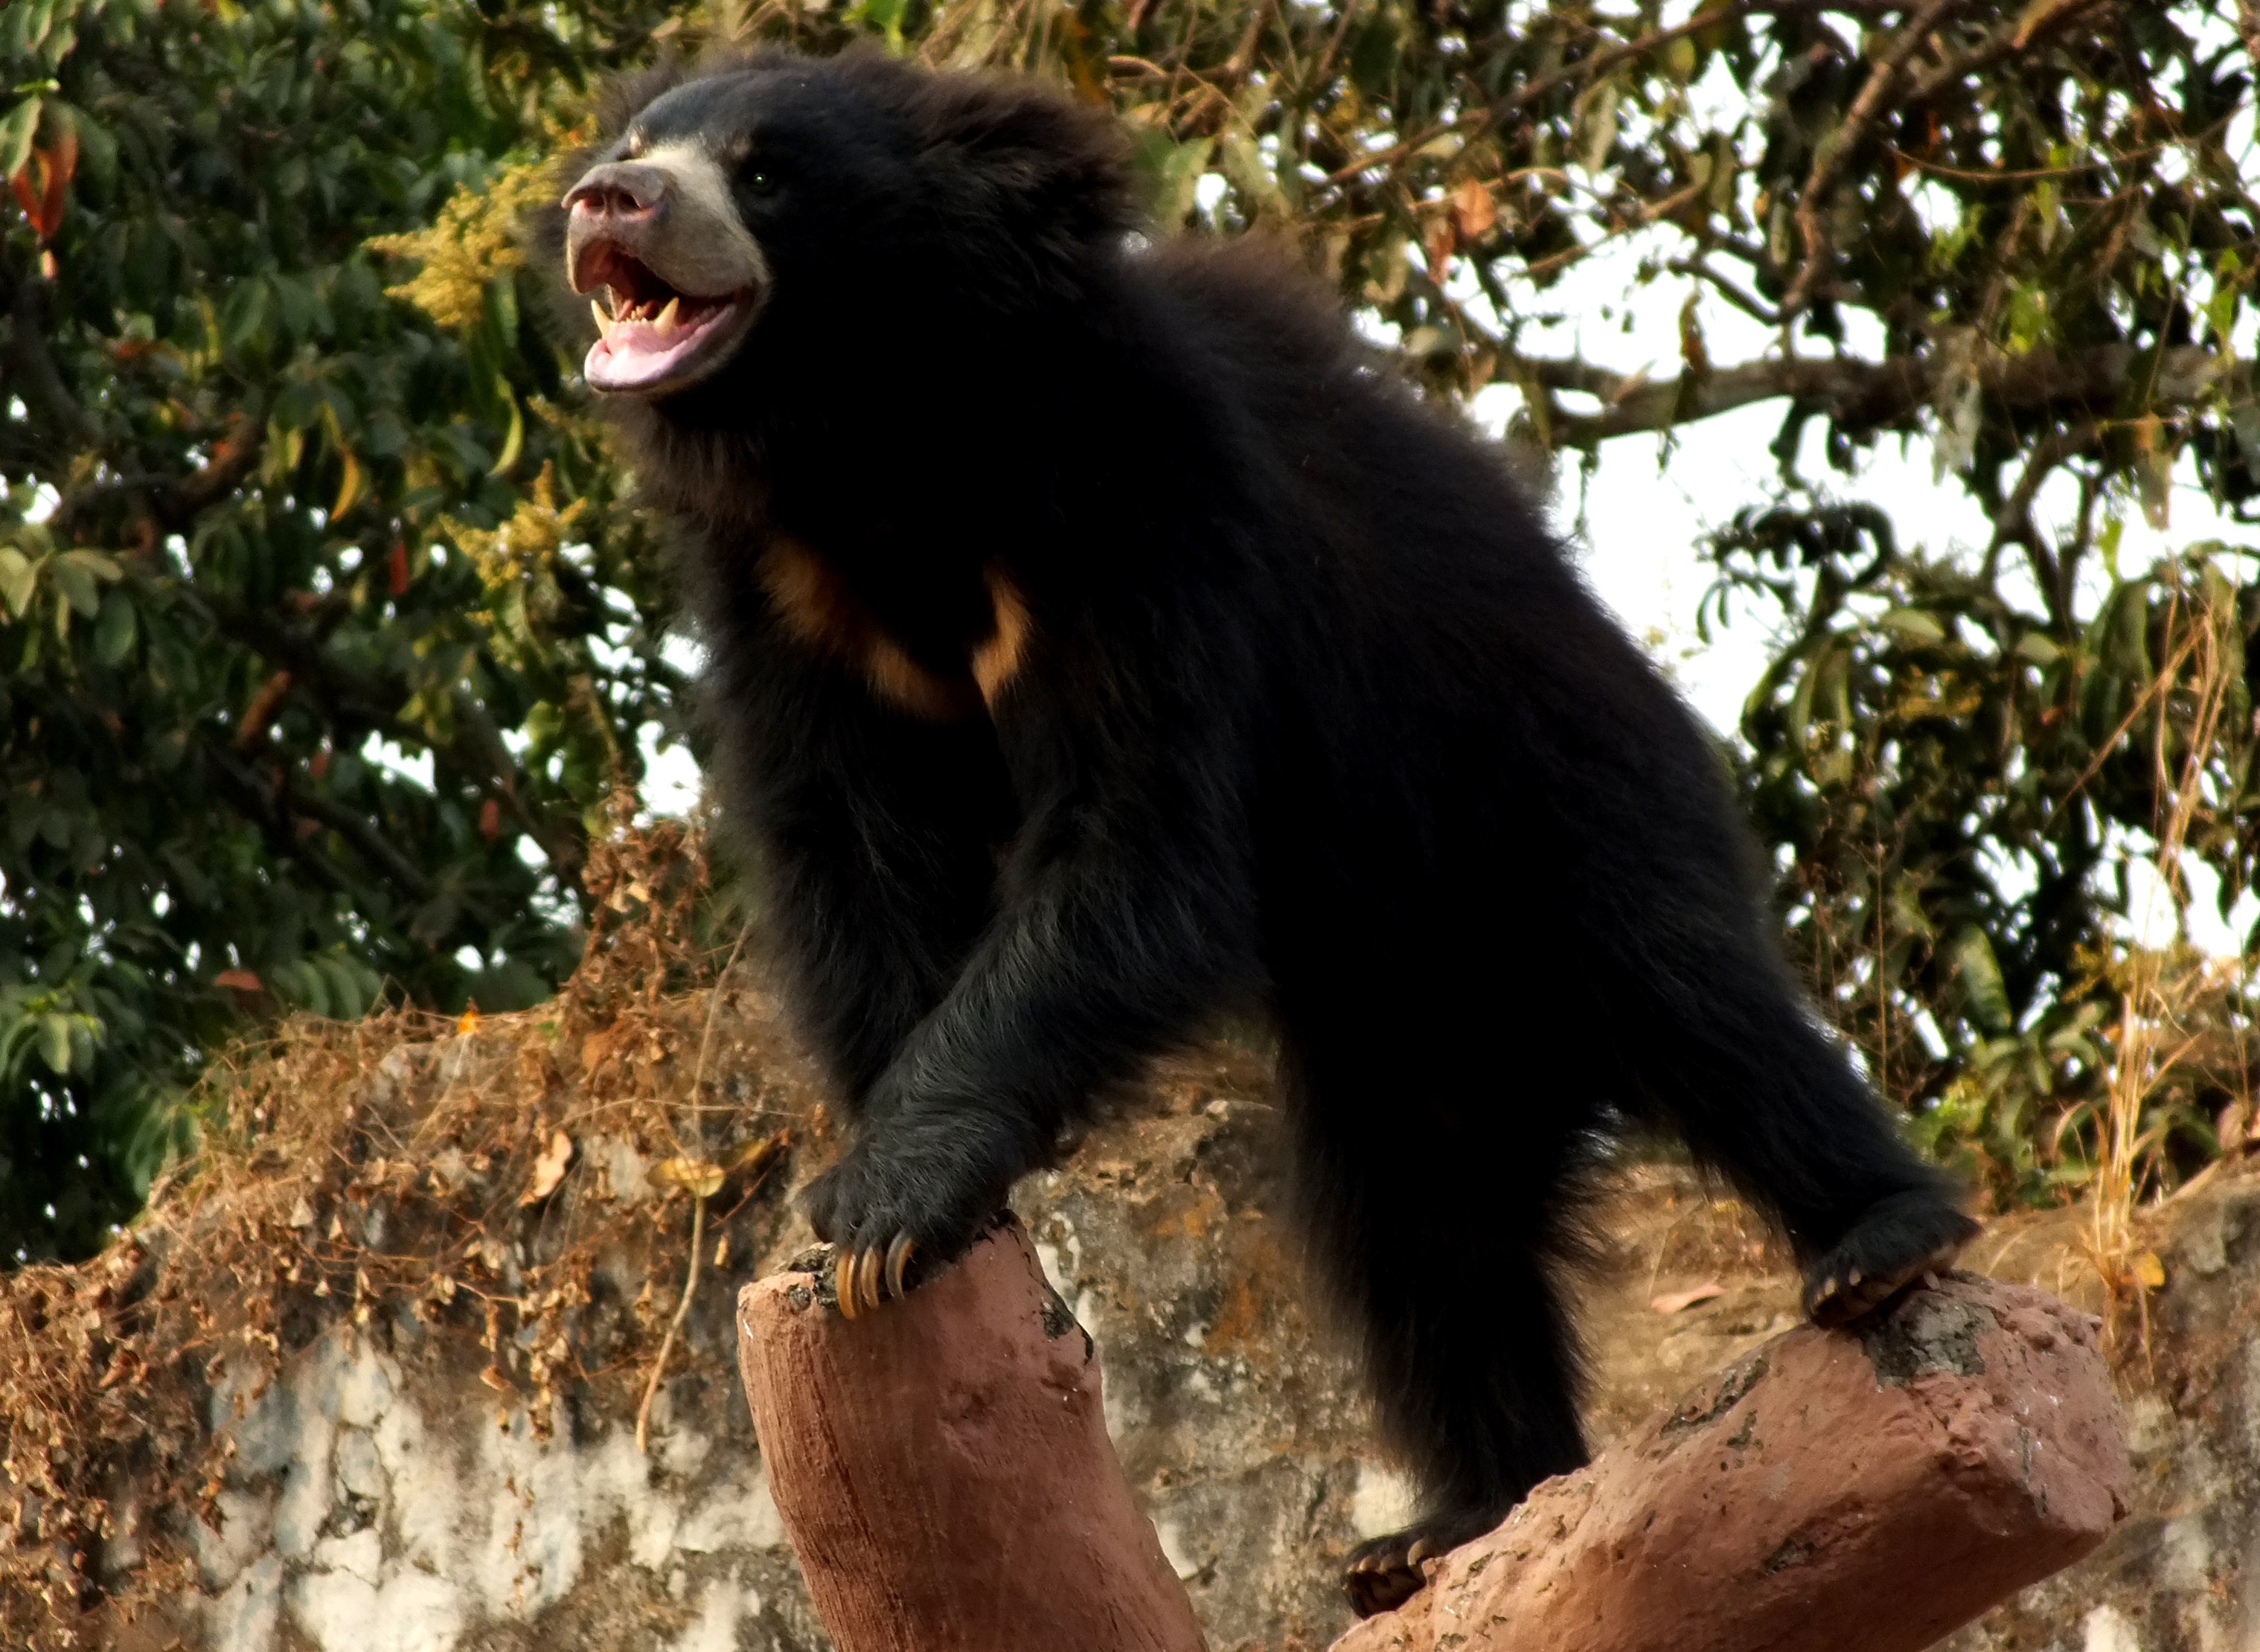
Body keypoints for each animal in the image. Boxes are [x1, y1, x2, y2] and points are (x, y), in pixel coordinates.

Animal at [551, 48, 1979, 1618]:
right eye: (638, 142)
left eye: (763, 172)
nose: (603, 198)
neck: (878, 453)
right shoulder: (785, 601)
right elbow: (854, 862)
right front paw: (909, 1205)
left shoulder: (1139, 508)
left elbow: (1140, 838)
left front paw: (881, 1206)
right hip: (1394, 1012)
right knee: (1414, 1214)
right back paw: (1455, 1519)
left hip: (1551, 797)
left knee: (1686, 994)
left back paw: (1877, 1244)